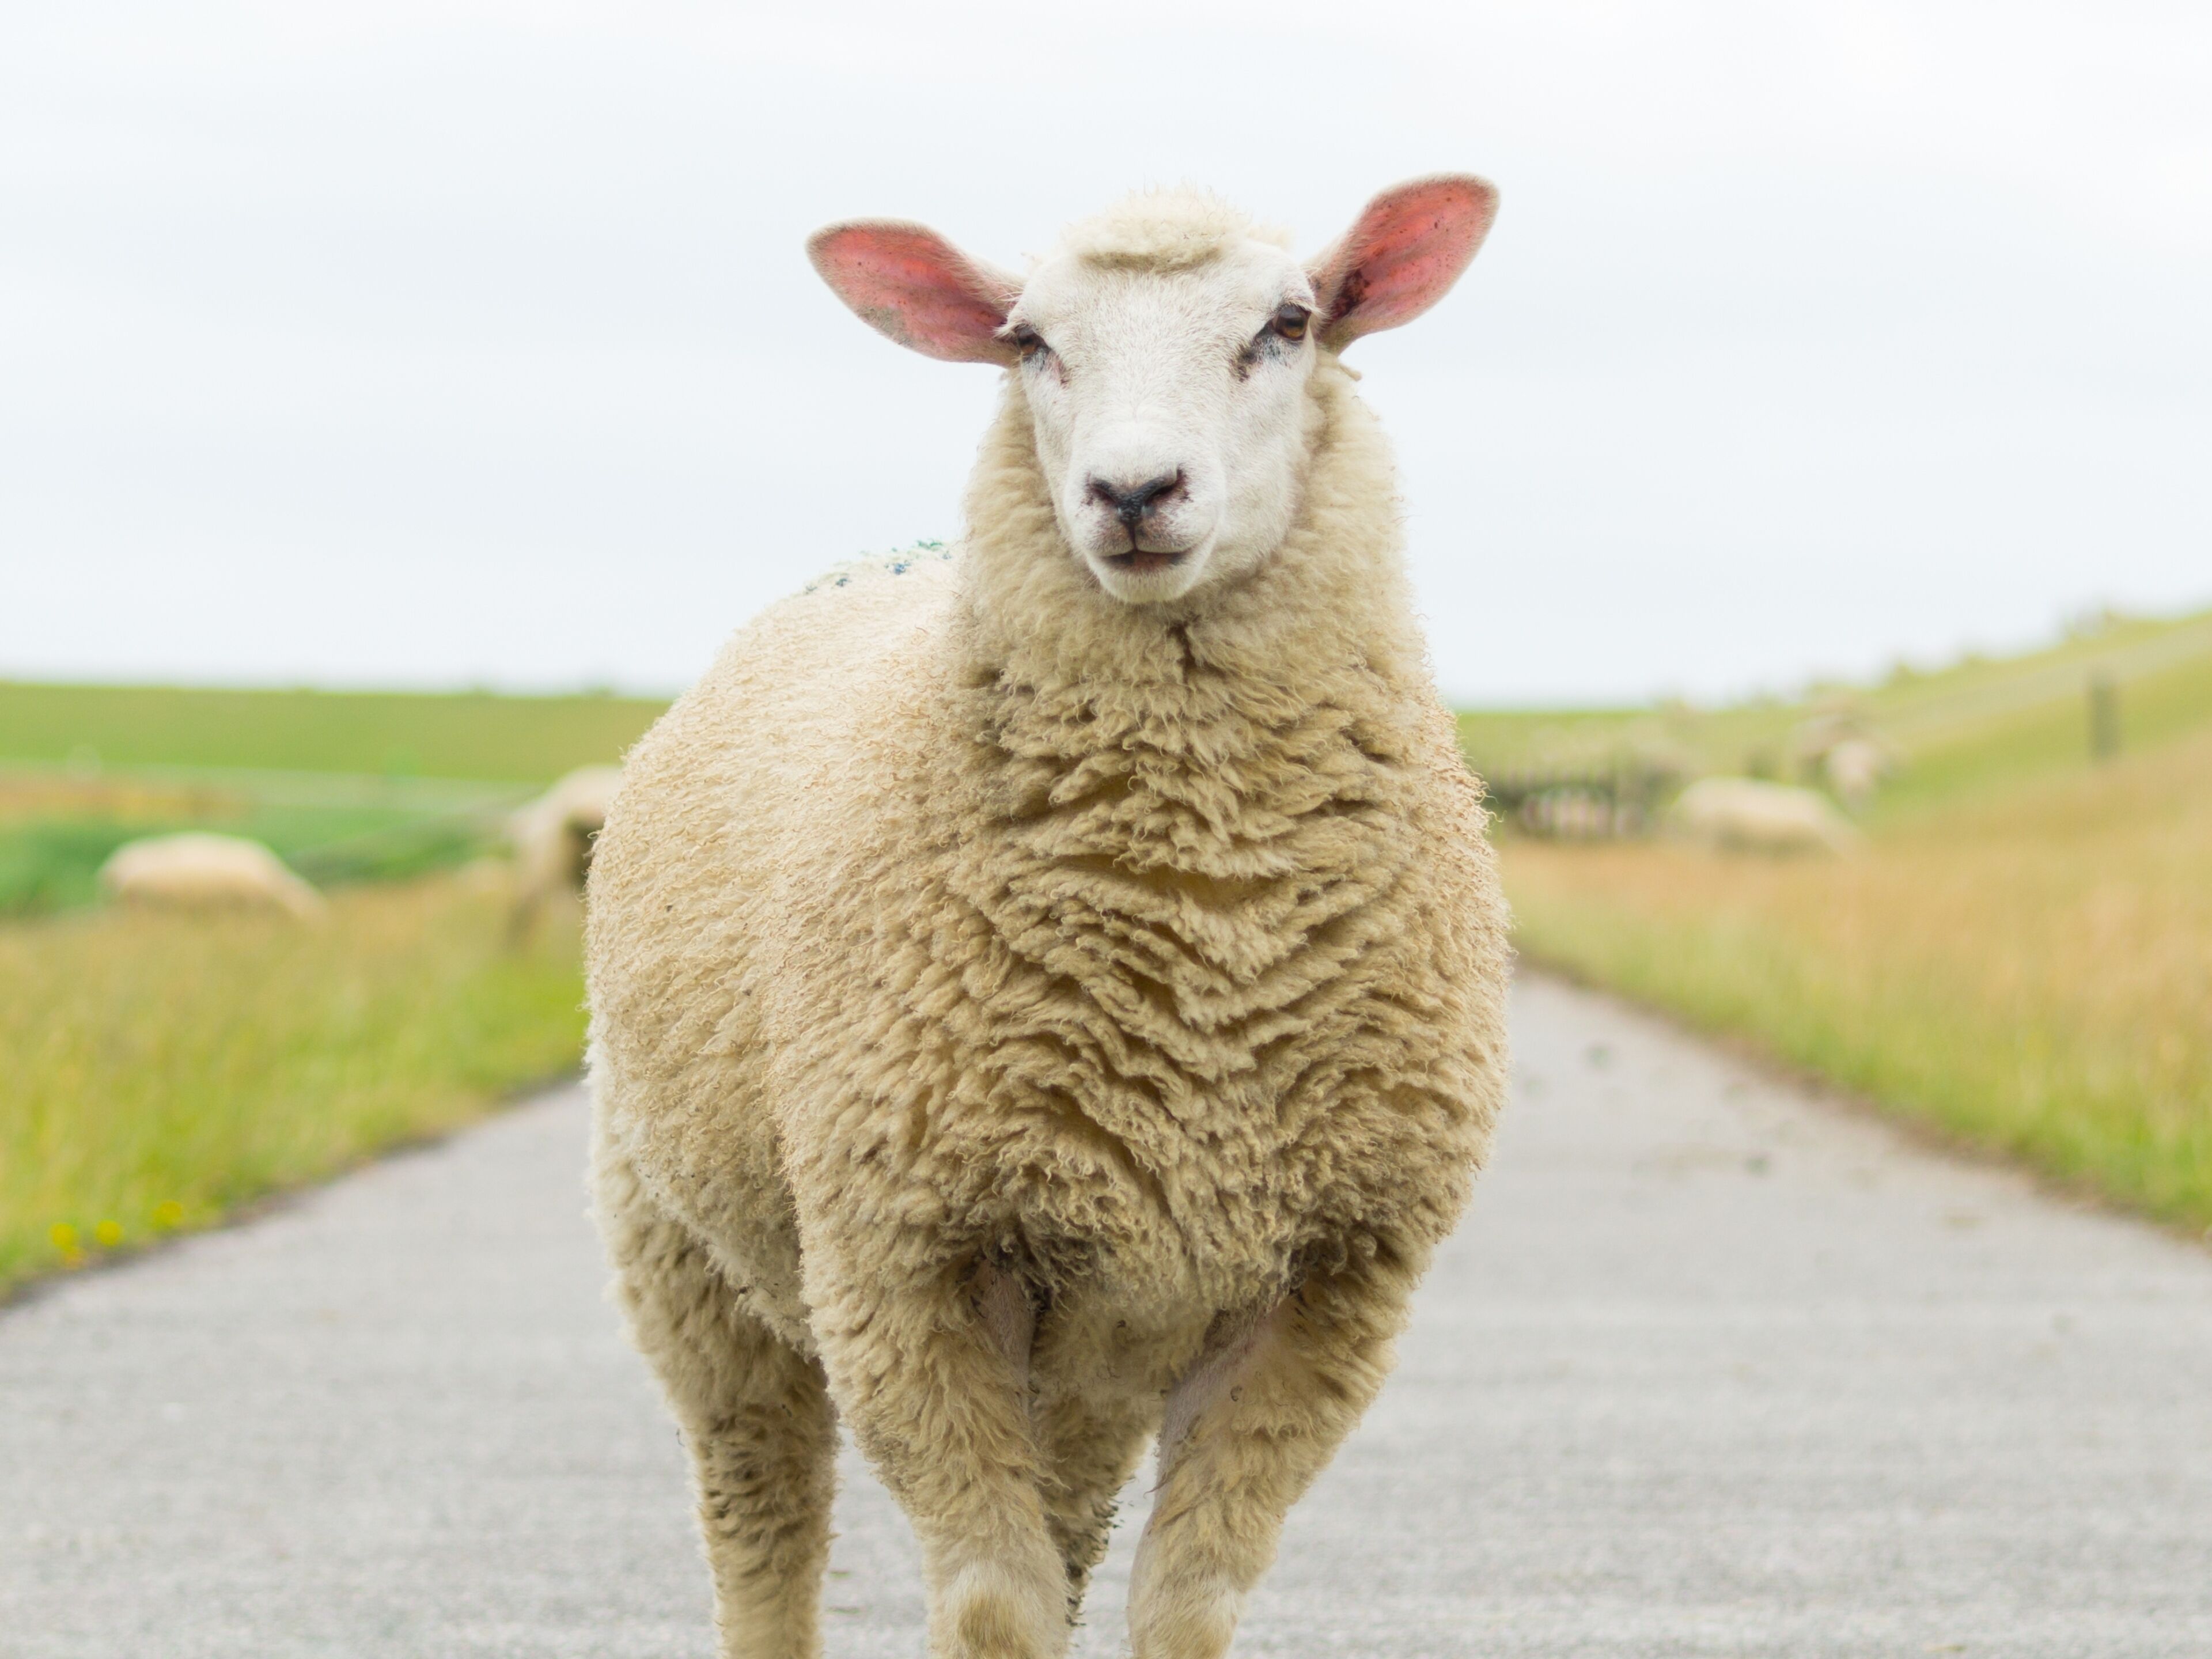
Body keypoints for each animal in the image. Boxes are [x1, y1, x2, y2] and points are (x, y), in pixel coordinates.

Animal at [585, 177, 1513, 1659]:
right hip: (682, 1250)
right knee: (760, 1509)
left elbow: (1186, 1606)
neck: (1203, 936)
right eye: (1028, 342)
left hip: (1102, 1335)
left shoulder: (1330, 1282)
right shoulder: (904, 1266)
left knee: (1068, 1520)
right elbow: (992, 1609)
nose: (1132, 491)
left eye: (1288, 323)